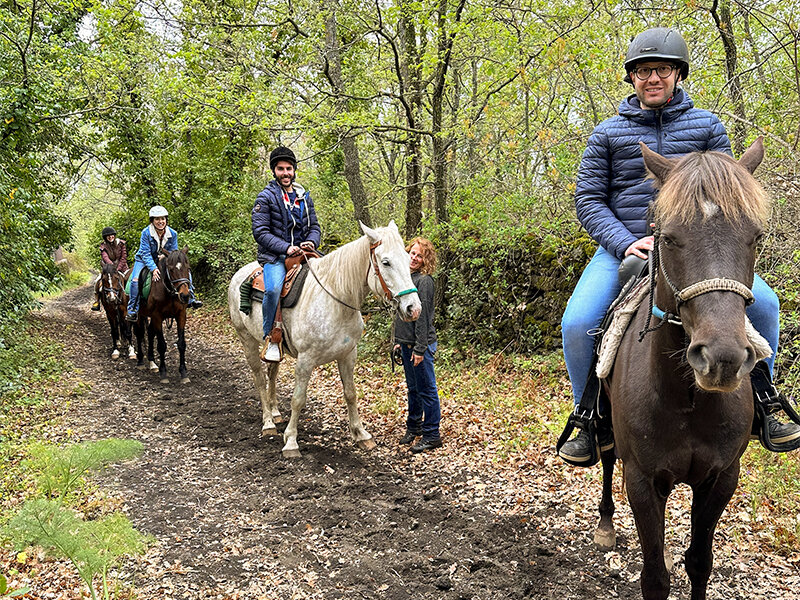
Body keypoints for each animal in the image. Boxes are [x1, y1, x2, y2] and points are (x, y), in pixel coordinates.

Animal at [134, 247, 193, 384]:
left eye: (188, 268)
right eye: (171, 269)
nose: (185, 296)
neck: (170, 292)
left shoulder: (181, 315)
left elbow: (181, 344)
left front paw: (183, 372)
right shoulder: (157, 316)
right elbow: (161, 345)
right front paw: (164, 373)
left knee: (150, 332)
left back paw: (152, 362)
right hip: (139, 314)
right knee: (139, 333)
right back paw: (140, 361)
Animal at [228, 220, 422, 454]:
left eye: (407, 258)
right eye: (386, 263)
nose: (413, 308)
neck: (336, 300)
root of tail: (239, 274)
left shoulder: (348, 355)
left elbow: (350, 393)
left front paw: (361, 434)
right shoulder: (305, 360)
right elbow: (298, 399)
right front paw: (291, 441)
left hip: (274, 346)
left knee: (272, 372)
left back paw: (274, 413)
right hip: (246, 338)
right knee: (258, 377)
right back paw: (268, 422)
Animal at [592, 138, 768, 600]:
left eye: (755, 237)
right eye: (669, 238)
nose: (722, 359)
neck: (687, 399)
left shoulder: (721, 478)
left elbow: (700, 562)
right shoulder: (641, 479)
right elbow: (654, 576)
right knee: (605, 457)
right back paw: (605, 524)